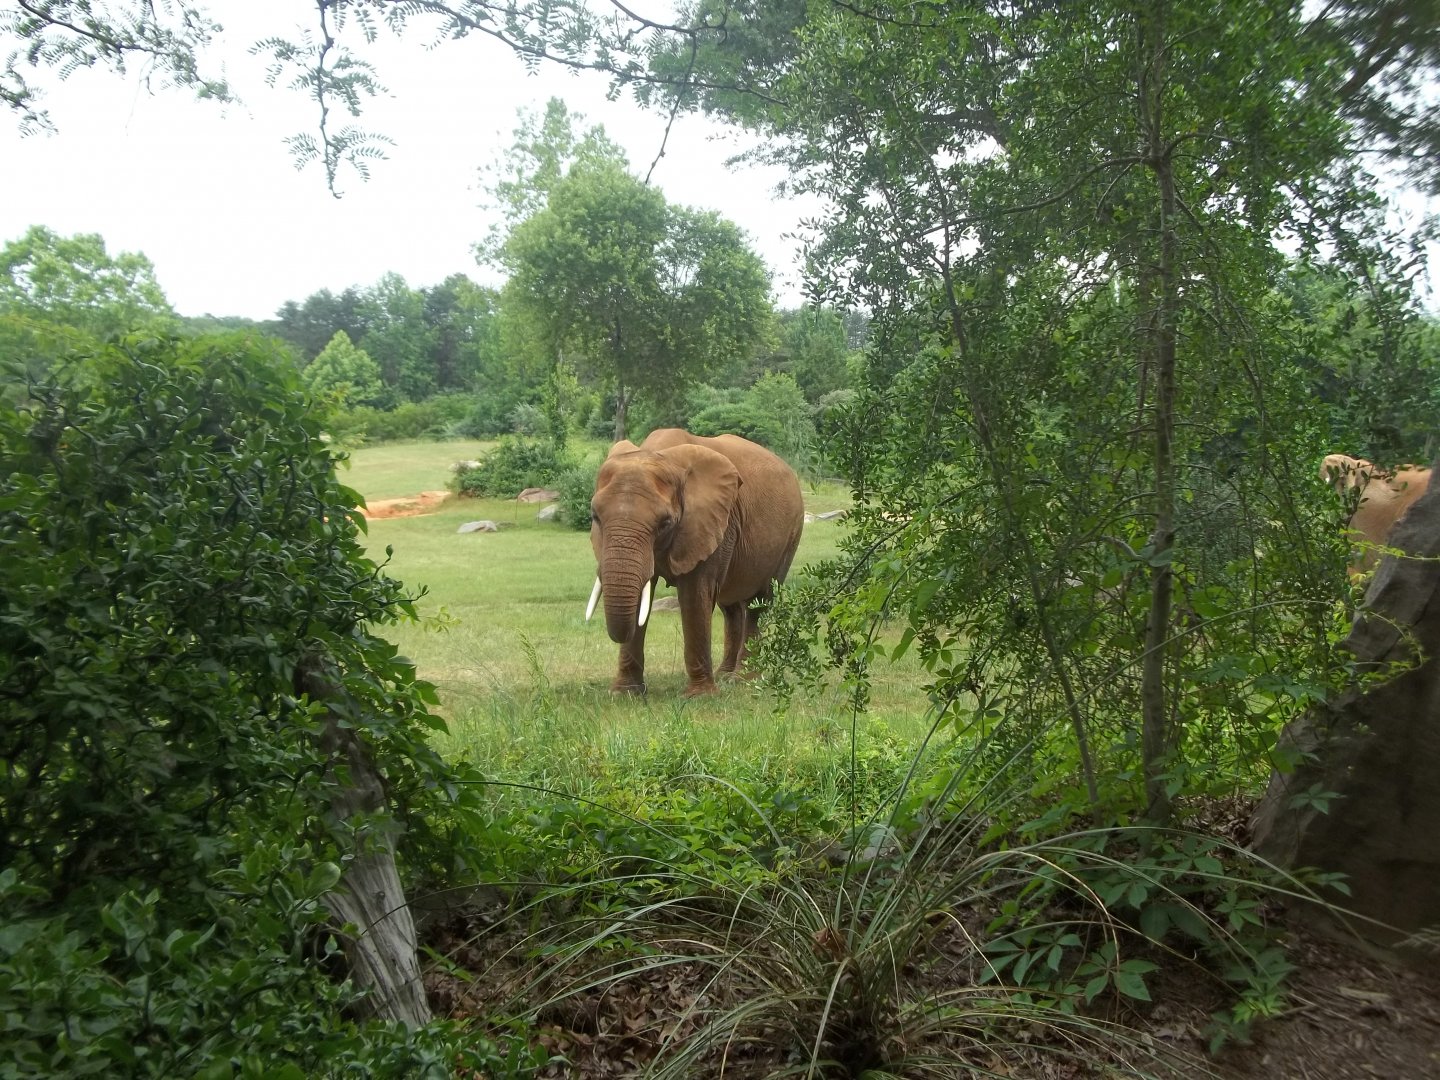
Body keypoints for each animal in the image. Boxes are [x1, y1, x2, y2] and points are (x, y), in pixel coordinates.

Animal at [584, 428, 805, 696]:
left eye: (665, 523)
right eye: (595, 516)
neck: (658, 454)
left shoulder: (713, 523)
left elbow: (694, 595)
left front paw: (699, 696)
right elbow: (642, 594)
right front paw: (625, 694)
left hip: (791, 533)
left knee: (758, 603)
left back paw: (742, 680)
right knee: (730, 607)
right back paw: (724, 675)